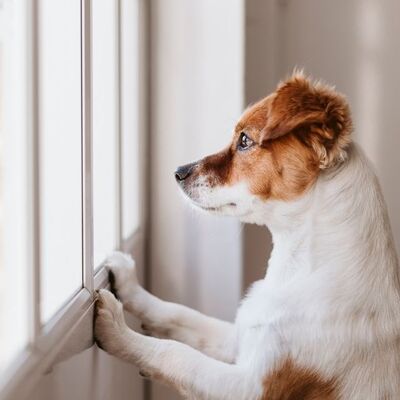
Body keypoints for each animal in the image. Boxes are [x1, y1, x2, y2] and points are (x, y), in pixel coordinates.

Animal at [94, 72, 400, 400]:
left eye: (244, 141)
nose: (178, 172)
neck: (298, 269)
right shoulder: (239, 338)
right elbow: (179, 314)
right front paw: (129, 284)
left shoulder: (251, 387)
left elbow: (175, 354)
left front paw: (116, 329)